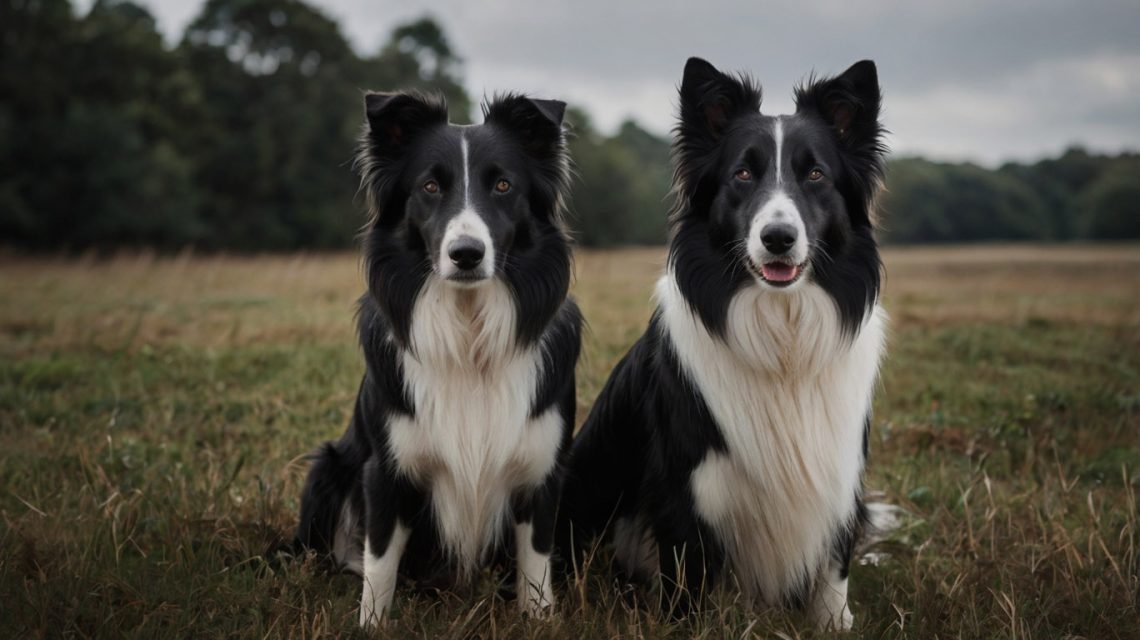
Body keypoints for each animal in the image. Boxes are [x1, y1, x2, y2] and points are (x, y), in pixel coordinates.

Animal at [294, 92, 583, 625]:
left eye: (504, 185)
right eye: (429, 186)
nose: (466, 253)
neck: (468, 334)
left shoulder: (542, 470)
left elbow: (536, 561)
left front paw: (539, 620)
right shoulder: (385, 469)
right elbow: (379, 563)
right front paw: (371, 626)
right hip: (327, 467)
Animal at [560, 56, 889, 629]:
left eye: (815, 174)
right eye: (743, 174)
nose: (778, 238)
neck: (783, 338)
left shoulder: (837, 468)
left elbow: (833, 566)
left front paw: (835, 624)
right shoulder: (687, 487)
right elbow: (687, 575)